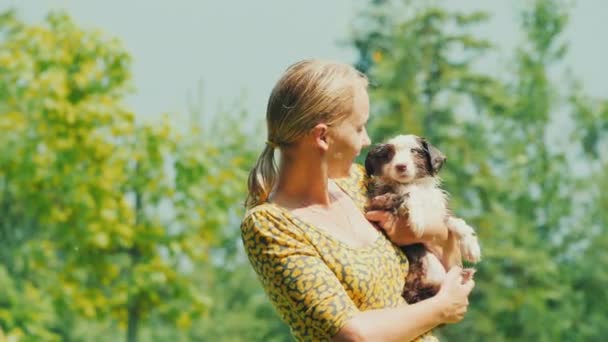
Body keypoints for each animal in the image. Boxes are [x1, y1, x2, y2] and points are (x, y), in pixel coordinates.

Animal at [364, 135, 482, 304]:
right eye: (388, 154)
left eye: (414, 151)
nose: (401, 166)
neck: (414, 184)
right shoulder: (373, 205)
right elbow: (408, 196)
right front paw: (416, 220)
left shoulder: (439, 211)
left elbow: (455, 221)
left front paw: (471, 246)